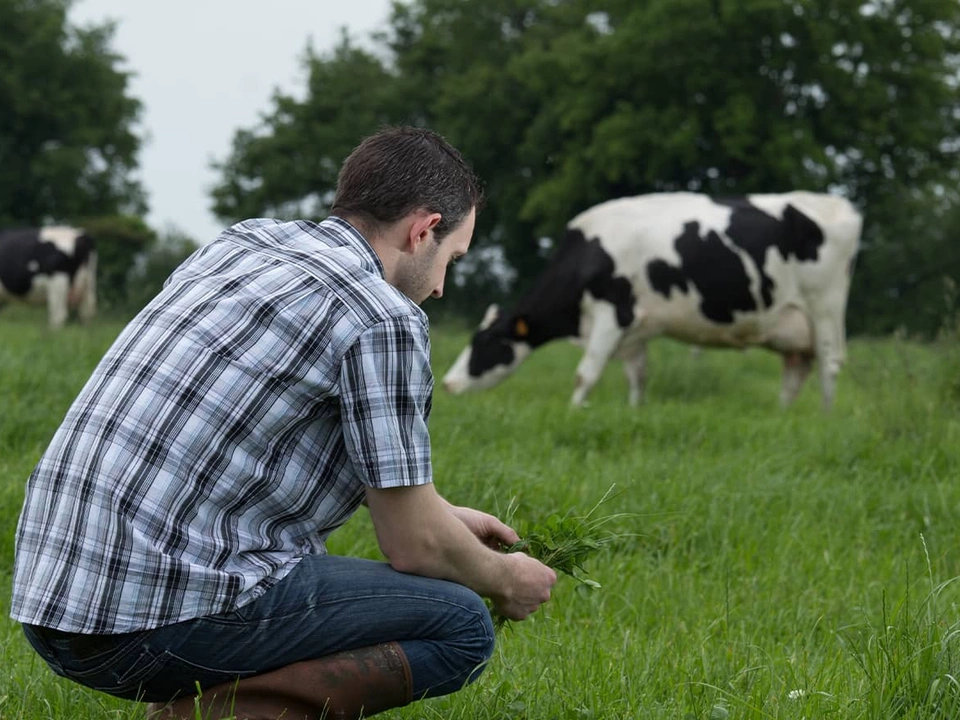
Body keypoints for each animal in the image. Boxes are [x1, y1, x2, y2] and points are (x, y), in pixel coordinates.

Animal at [442, 191, 864, 410]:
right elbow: (638, 375)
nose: (449, 383)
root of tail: (837, 204)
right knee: (795, 372)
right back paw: (784, 414)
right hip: (795, 327)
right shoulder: (636, 329)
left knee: (829, 366)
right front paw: (634, 410)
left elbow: (586, 372)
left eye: (486, 343)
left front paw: (574, 410)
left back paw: (825, 416)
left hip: (824, 308)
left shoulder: (613, 312)